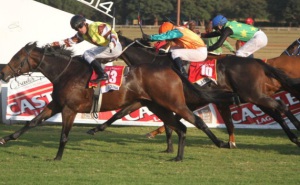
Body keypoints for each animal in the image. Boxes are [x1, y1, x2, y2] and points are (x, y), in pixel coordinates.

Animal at [88, 34, 300, 150]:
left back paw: (296, 131)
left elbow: (172, 122)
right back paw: (293, 135)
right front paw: (96, 128)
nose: (95, 59)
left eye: (107, 47)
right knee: (277, 111)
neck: (154, 63)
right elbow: (120, 114)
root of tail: (257, 62)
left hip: (253, 95)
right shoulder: (146, 98)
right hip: (254, 96)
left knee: (281, 106)